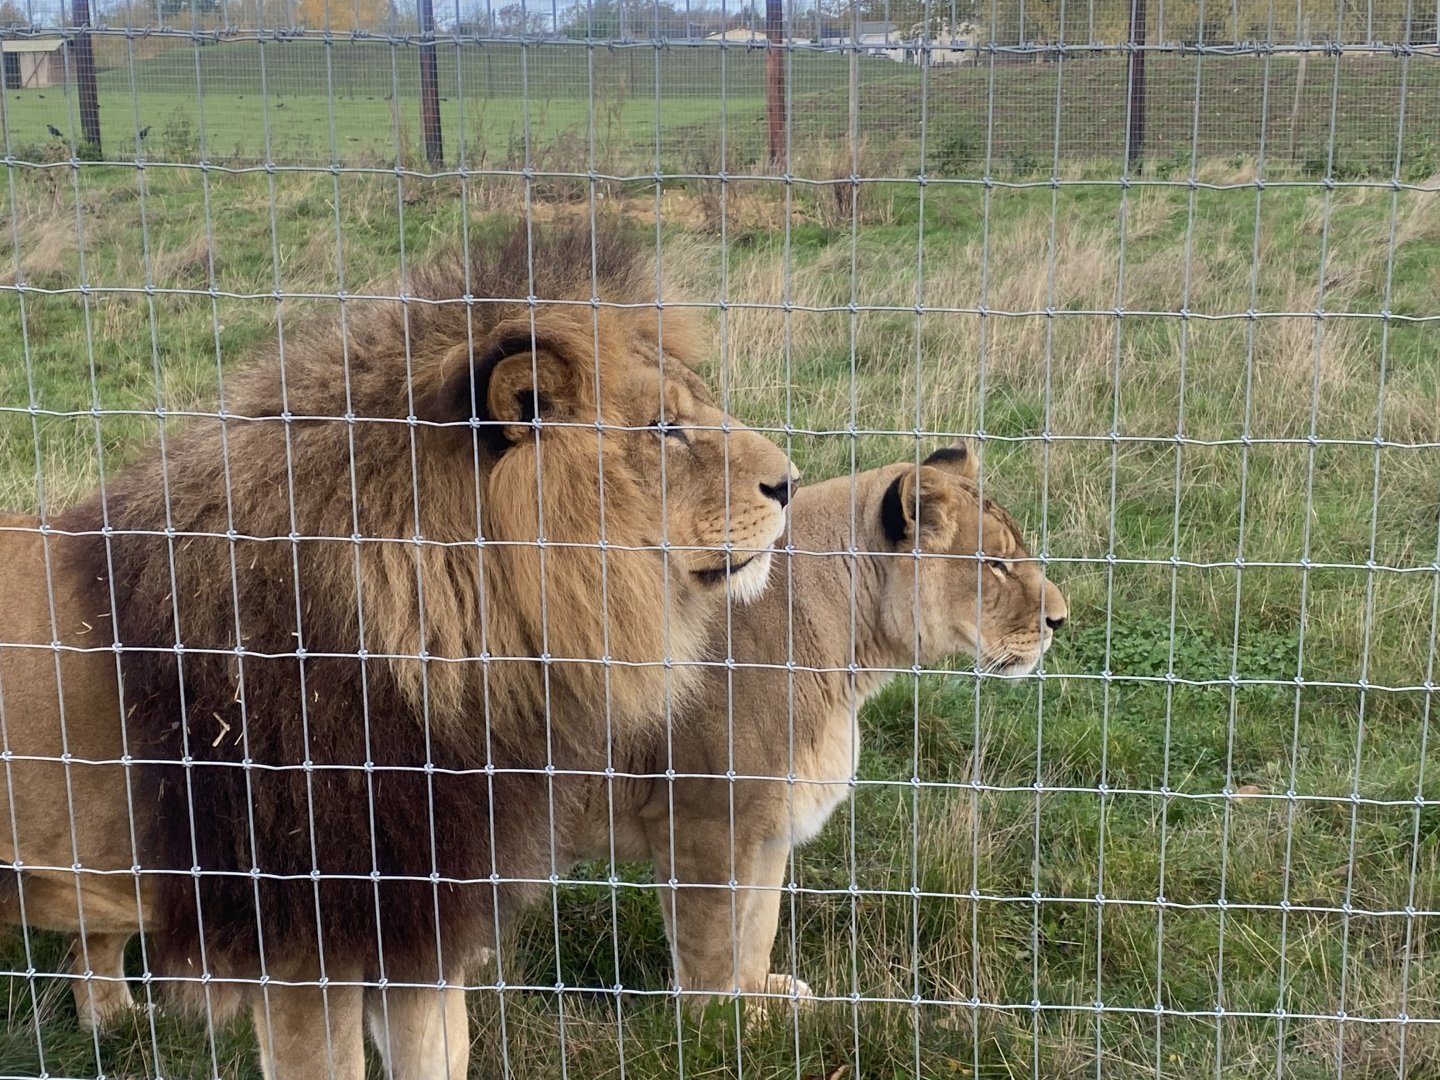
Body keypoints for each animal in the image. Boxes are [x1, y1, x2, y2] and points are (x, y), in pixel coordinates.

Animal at [0, 219, 796, 1077]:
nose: (790, 482)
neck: (450, 644)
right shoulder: (304, 942)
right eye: (663, 431)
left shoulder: (420, 920)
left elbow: (440, 1055)